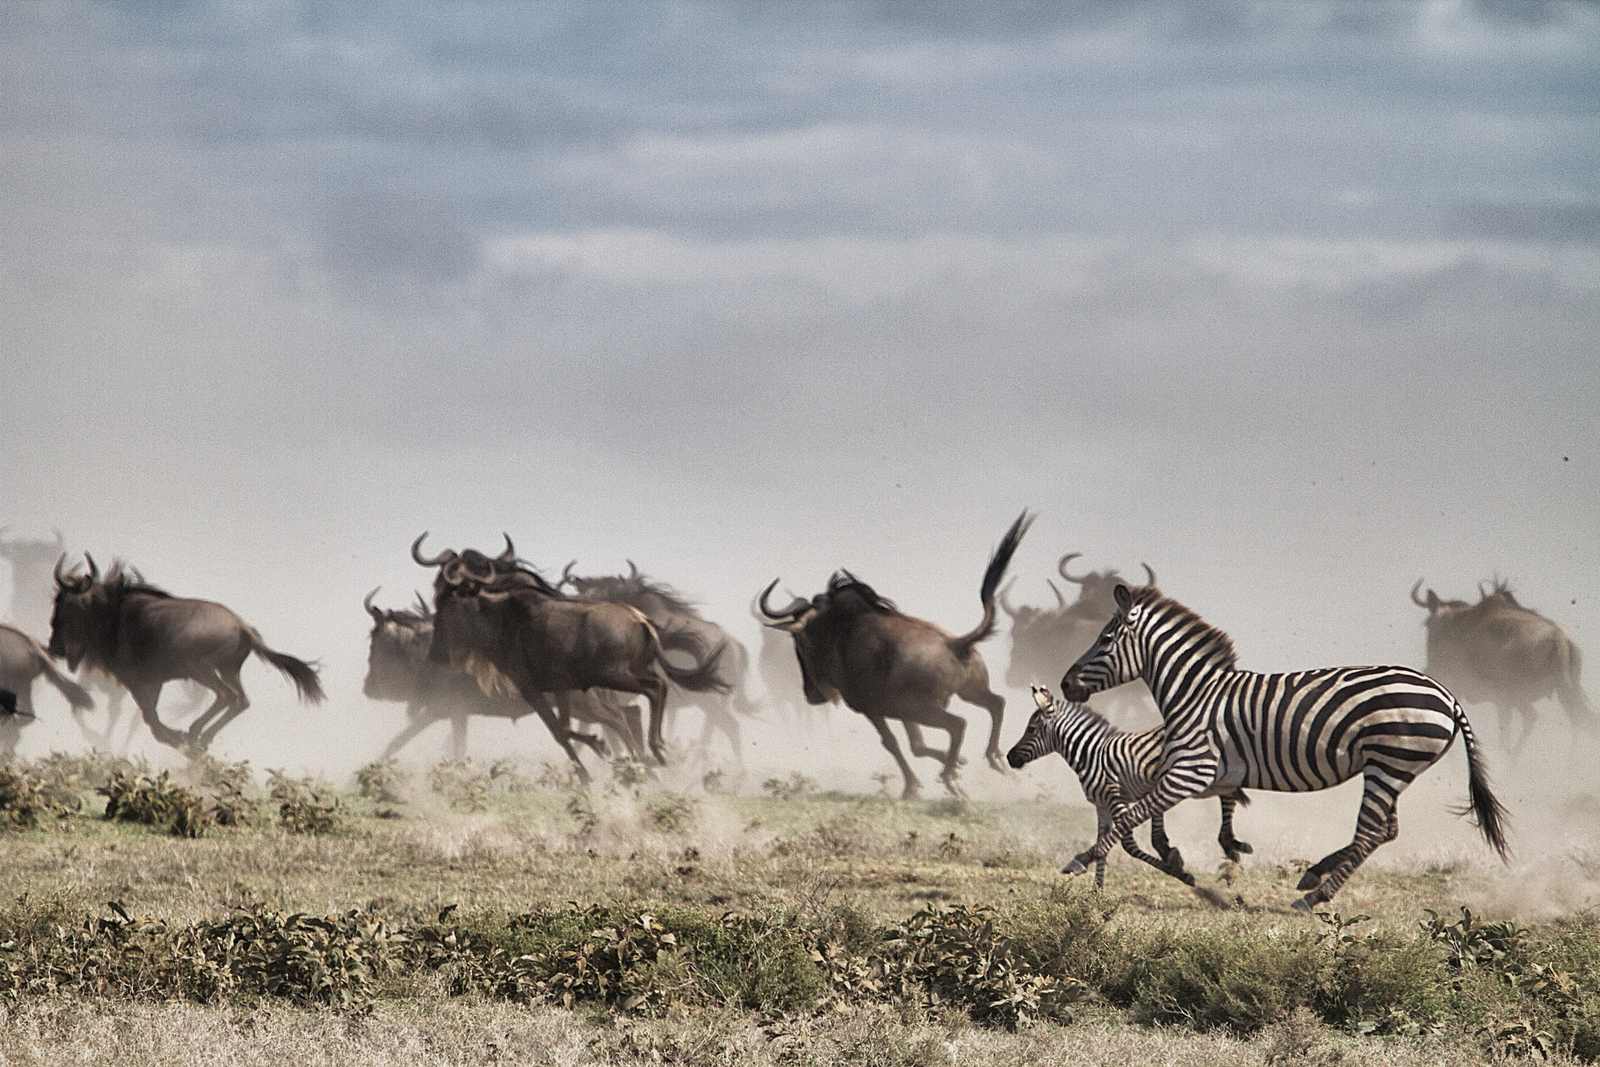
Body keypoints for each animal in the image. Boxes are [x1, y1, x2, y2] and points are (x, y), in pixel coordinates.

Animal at [1007, 685, 1252, 888]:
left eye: (1031, 729)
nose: (1010, 757)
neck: (1090, 754)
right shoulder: (1101, 804)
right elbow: (1102, 843)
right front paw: (1095, 892)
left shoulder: (1116, 797)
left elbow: (1128, 844)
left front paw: (1181, 873)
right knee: (1229, 796)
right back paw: (1231, 846)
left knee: (1228, 797)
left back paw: (1230, 845)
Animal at [1059, 584, 1510, 911]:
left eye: (1105, 639)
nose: (1065, 684)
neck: (1195, 693)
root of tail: (1447, 695)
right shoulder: (1211, 772)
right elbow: (1205, 819)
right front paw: (1204, 852)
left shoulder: (1191, 771)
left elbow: (1126, 819)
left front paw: (1080, 860)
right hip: (1394, 767)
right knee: (1387, 830)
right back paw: (1313, 874)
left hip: (1389, 764)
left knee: (1369, 832)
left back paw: (1314, 896)